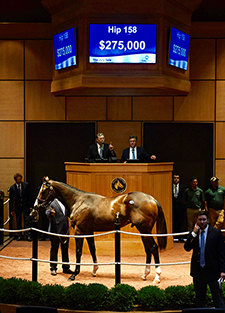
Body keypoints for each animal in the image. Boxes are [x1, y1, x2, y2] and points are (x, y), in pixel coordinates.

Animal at [35, 177, 167, 282]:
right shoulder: (88, 231)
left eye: (43, 190)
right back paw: (144, 275)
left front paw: (74, 275)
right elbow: (92, 249)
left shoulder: (79, 231)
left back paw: (157, 277)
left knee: (153, 248)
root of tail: (152, 199)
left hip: (144, 230)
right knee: (148, 250)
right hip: (143, 231)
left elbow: (78, 252)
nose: (36, 205)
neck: (79, 201)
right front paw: (94, 271)